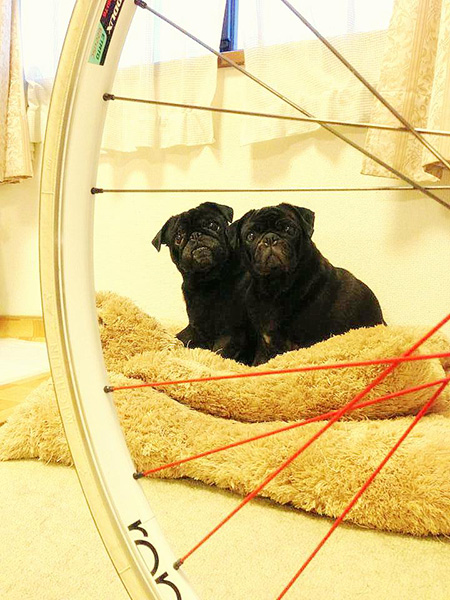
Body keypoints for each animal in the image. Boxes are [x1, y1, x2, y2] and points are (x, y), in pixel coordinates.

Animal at [152, 202, 254, 364]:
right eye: (178, 238)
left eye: (213, 225)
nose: (195, 235)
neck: (207, 281)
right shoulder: (196, 328)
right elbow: (180, 338)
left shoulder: (230, 331)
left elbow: (218, 352)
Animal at [230, 203, 385, 365]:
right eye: (250, 236)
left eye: (289, 229)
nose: (270, 238)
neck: (274, 289)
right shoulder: (264, 349)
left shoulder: (303, 344)